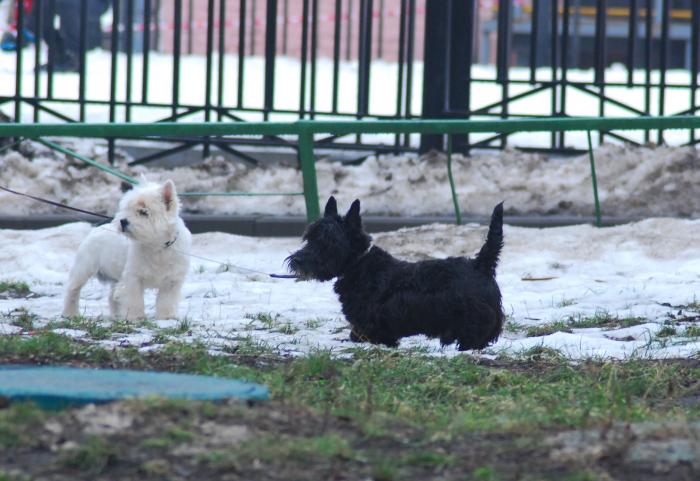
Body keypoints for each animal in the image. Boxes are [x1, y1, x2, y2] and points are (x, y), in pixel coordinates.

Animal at [62, 179, 191, 320]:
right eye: (127, 208)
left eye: (143, 212)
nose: (122, 221)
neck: (157, 247)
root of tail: (96, 229)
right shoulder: (133, 277)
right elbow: (134, 299)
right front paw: (135, 316)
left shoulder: (172, 281)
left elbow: (166, 300)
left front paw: (167, 317)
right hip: (84, 267)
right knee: (73, 290)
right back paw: (70, 313)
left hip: (114, 275)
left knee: (112, 297)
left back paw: (116, 315)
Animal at [286, 197, 504, 350]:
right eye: (309, 237)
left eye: (328, 242)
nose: (297, 260)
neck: (358, 264)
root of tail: (481, 264)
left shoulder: (369, 328)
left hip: (472, 323)